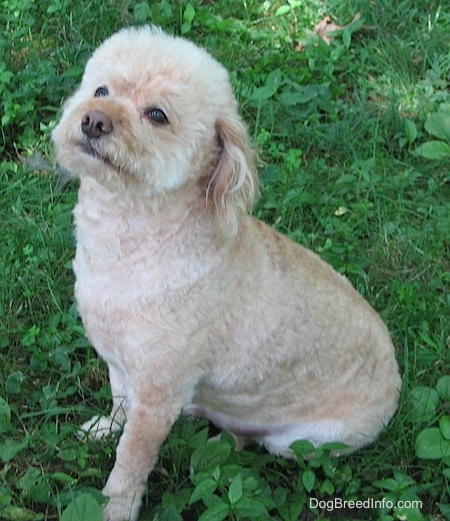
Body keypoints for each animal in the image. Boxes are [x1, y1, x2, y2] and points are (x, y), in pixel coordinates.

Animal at [52, 26, 400, 520]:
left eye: (157, 115)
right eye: (101, 90)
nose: (94, 120)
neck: (133, 239)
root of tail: (397, 383)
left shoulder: (159, 393)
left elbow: (131, 460)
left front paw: (116, 507)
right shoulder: (119, 362)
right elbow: (120, 407)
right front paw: (104, 428)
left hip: (303, 441)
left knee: (250, 440)